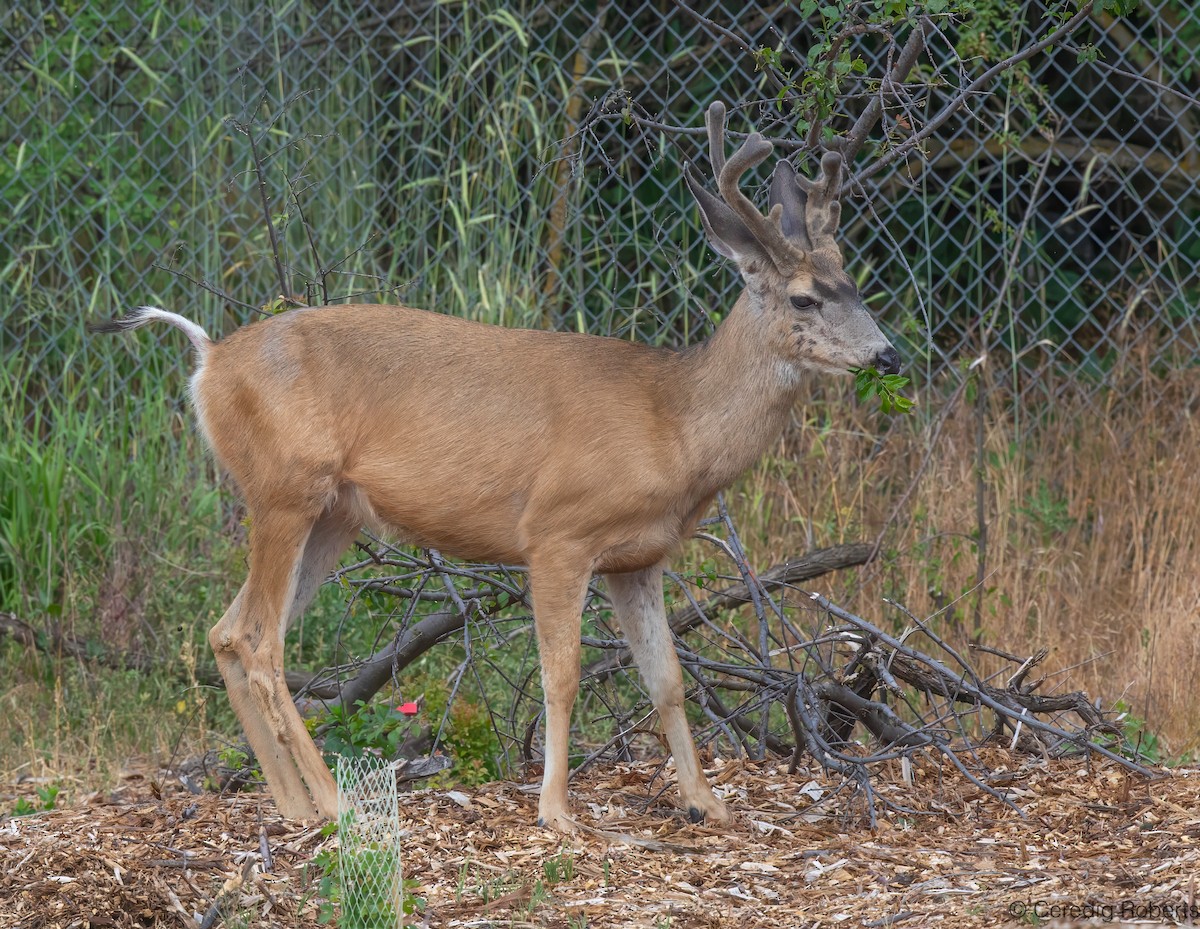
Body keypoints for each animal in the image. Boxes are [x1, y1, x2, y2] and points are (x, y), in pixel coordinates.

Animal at [91, 101, 899, 832]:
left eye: (853, 280)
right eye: (804, 297)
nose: (888, 353)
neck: (672, 423)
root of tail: (209, 360)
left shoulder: (639, 557)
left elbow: (667, 678)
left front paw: (707, 802)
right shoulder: (558, 532)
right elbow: (562, 674)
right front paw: (556, 812)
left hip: (331, 513)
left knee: (227, 631)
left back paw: (293, 806)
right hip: (284, 488)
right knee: (261, 641)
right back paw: (335, 803)